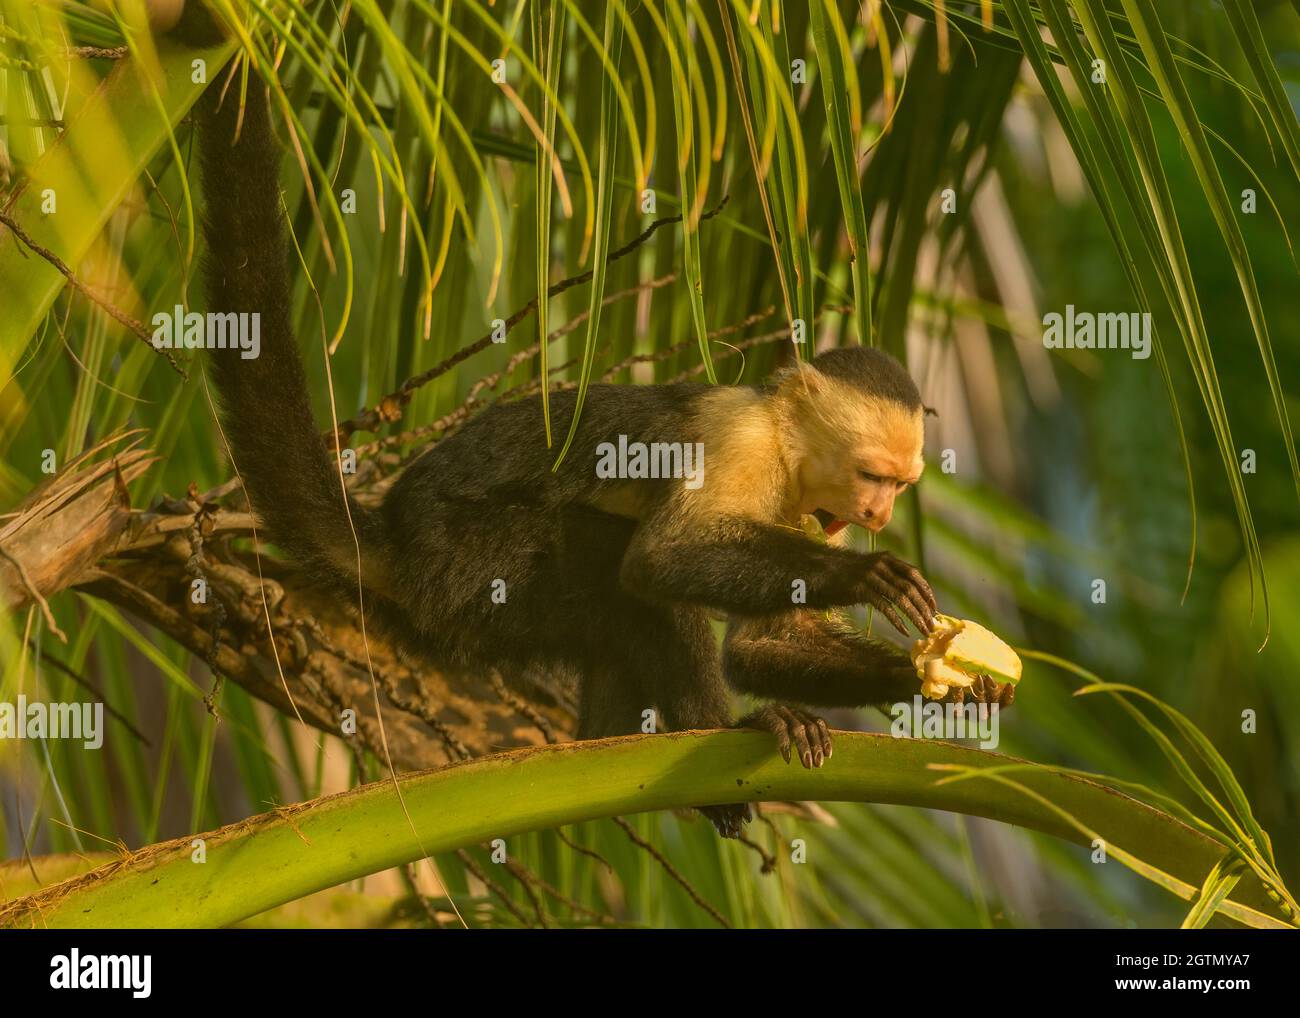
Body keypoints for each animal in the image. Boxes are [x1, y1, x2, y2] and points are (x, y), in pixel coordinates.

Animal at [170, 3, 1013, 842]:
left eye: (898, 487)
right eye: (874, 476)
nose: (877, 515)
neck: (782, 446)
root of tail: (396, 535)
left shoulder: (809, 510)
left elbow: (764, 641)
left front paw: (935, 678)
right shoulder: (735, 439)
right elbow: (662, 559)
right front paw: (867, 579)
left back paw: (611, 749)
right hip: (469, 568)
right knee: (620, 575)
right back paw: (727, 731)